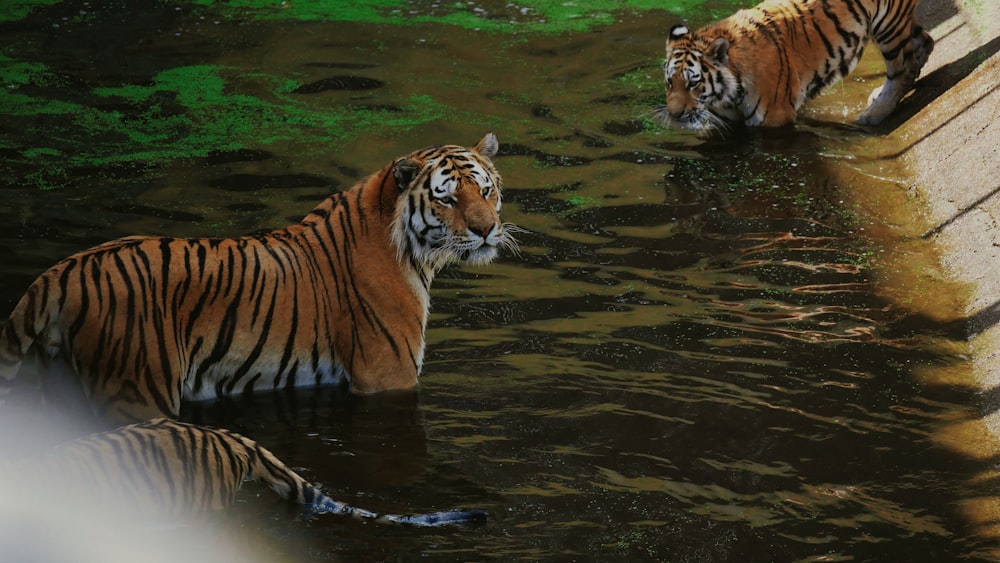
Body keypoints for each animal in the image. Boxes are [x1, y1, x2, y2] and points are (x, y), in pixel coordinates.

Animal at [0, 133, 516, 424]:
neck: (409, 250)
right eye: (447, 199)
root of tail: (61, 272)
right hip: (134, 391)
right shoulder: (388, 376)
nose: (485, 228)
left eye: (486, 190)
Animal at [660, 0, 932, 132]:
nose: (673, 114)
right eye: (670, 82)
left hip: (889, 23)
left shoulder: (774, 119)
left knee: (904, 68)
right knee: (925, 43)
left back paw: (872, 115)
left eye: (693, 83)